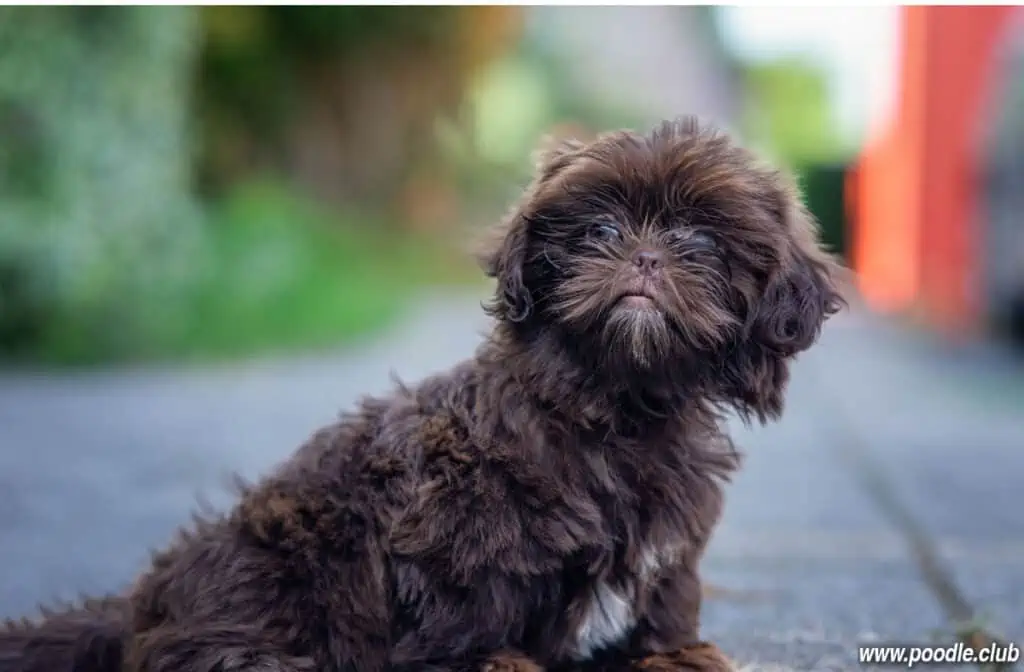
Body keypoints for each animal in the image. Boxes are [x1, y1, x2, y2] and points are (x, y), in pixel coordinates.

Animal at [0, 116, 843, 672]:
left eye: (699, 243)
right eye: (600, 230)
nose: (643, 256)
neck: (616, 404)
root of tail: (142, 610)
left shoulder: (667, 555)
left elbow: (667, 617)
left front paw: (681, 655)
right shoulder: (456, 542)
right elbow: (472, 619)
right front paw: (497, 660)